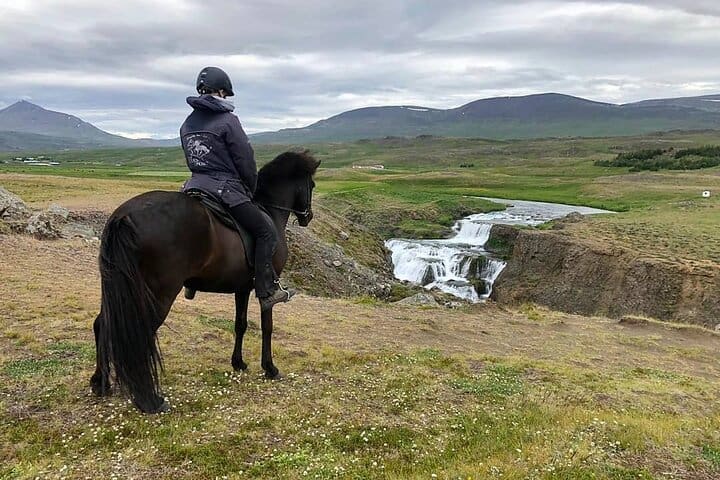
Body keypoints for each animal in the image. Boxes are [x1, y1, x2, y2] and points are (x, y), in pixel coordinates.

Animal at [90, 150, 320, 413]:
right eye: (311, 185)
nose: (308, 217)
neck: (269, 213)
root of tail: (124, 216)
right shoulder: (266, 285)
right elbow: (267, 326)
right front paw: (270, 368)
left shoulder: (242, 288)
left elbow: (240, 324)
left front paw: (238, 363)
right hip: (157, 293)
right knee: (140, 333)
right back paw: (150, 400)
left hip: (118, 290)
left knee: (102, 324)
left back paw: (100, 382)